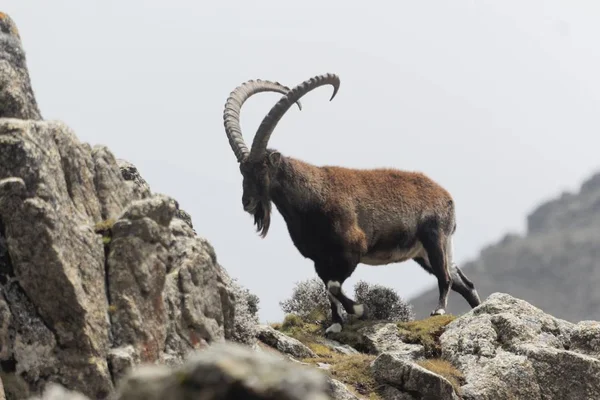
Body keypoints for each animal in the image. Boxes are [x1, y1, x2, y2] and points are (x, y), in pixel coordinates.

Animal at [223, 73, 480, 332]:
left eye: (262, 169)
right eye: (243, 170)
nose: (247, 202)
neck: (312, 198)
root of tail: (446, 196)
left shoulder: (351, 251)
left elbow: (334, 287)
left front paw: (359, 310)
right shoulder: (320, 260)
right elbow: (328, 289)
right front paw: (335, 325)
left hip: (434, 237)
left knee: (445, 277)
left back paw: (439, 310)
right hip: (423, 251)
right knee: (465, 283)